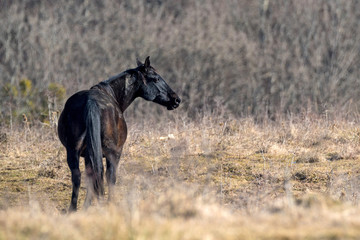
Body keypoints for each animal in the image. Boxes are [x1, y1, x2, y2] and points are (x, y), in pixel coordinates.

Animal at [58, 56, 181, 212]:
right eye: (156, 78)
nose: (176, 99)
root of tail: (91, 102)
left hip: (73, 151)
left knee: (79, 176)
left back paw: (73, 209)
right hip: (113, 153)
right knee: (109, 176)